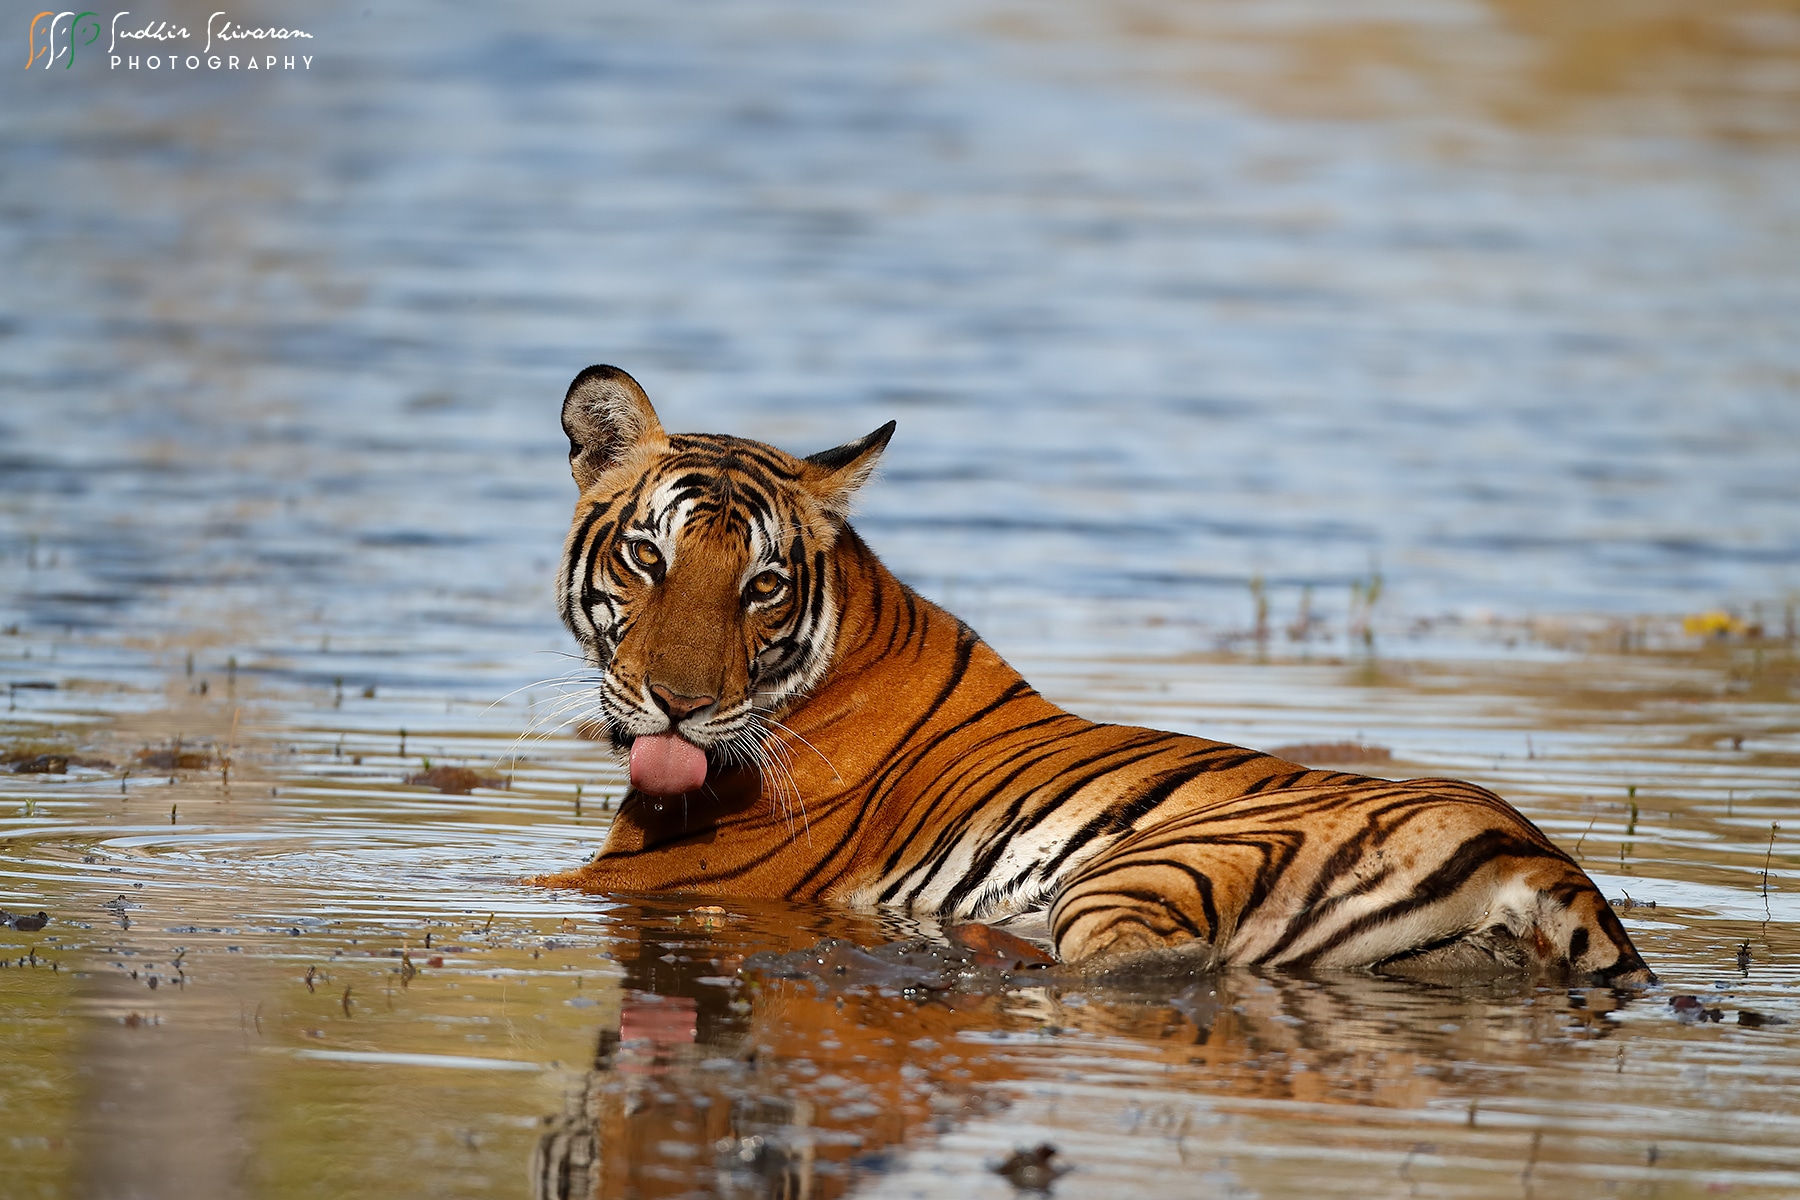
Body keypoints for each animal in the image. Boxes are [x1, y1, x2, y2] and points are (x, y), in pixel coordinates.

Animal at [525, 367, 1648, 985]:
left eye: (761, 585)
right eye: (648, 557)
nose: (680, 706)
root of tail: (1543, 859)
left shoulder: (661, 877)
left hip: (1154, 865)